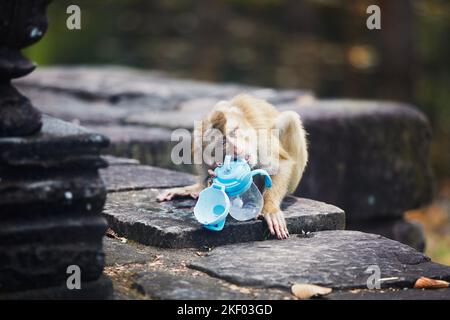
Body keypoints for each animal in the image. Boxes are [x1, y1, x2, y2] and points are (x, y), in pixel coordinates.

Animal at [156, 94, 308, 239]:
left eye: (234, 132)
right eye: (222, 143)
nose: (236, 149)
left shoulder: (261, 137)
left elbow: (282, 164)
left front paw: (270, 209)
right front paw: (211, 180)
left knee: (290, 119)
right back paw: (198, 188)